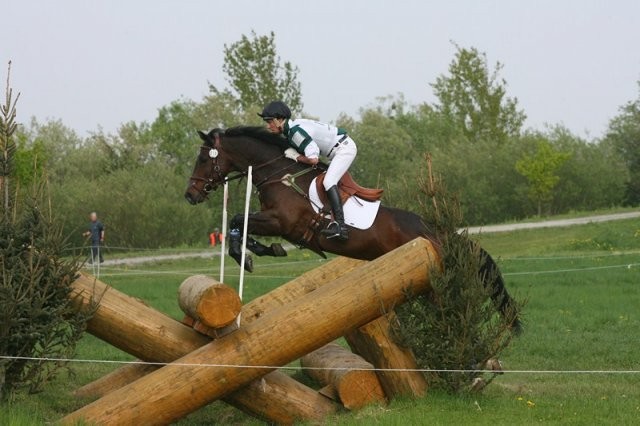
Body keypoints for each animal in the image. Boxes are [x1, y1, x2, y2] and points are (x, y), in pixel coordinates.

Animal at [185, 125, 520, 332]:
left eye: (202, 158)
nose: (190, 195)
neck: (278, 174)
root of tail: (439, 234)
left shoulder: (284, 222)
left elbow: (237, 221)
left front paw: (251, 255)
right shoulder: (276, 222)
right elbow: (238, 223)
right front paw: (259, 251)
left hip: (429, 278)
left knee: (446, 305)